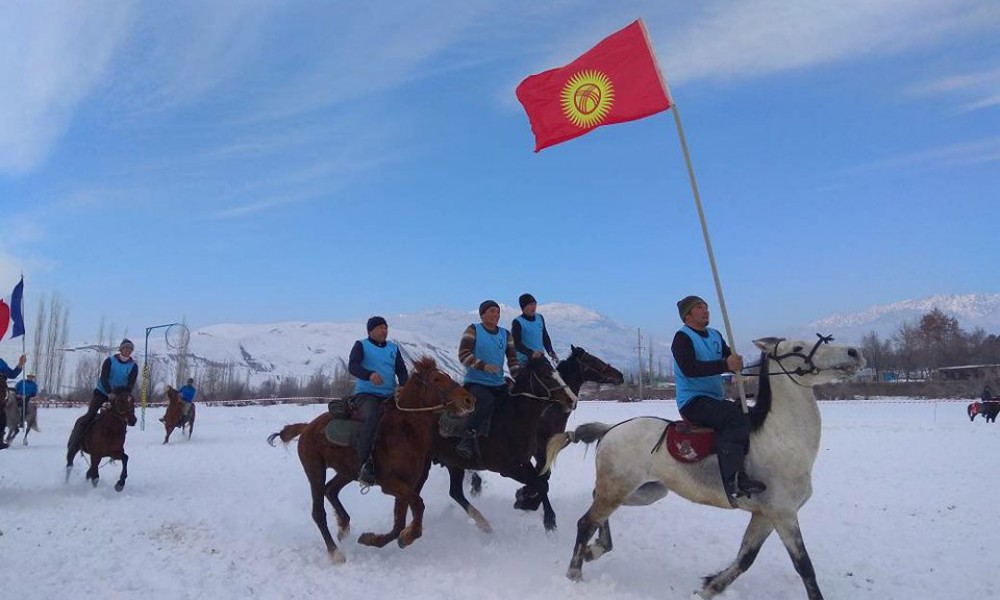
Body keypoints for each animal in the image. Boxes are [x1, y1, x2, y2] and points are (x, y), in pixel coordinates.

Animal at [268, 356, 474, 564]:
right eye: (437, 379)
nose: (469, 400)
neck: (404, 431)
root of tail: (307, 427)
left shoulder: (406, 486)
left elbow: (399, 524)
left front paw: (372, 539)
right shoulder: (391, 484)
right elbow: (418, 505)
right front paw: (408, 536)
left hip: (347, 471)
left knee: (331, 490)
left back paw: (344, 526)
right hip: (315, 470)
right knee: (318, 512)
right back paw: (335, 552)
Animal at [432, 356, 580, 528]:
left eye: (557, 373)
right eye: (546, 376)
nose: (572, 400)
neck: (512, 419)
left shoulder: (524, 462)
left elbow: (542, 483)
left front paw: (529, 504)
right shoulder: (507, 469)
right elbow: (541, 483)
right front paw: (548, 519)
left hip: (454, 464)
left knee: (455, 492)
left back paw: (482, 523)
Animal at [544, 336, 864, 596]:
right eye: (797, 348)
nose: (854, 352)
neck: (781, 439)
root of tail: (610, 429)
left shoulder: (765, 515)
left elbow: (746, 557)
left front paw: (711, 586)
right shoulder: (783, 514)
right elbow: (804, 566)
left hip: (644, 491)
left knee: (596, 508)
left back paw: (596, 549)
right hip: (620, 487)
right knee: (586, 521)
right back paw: (575, 571)